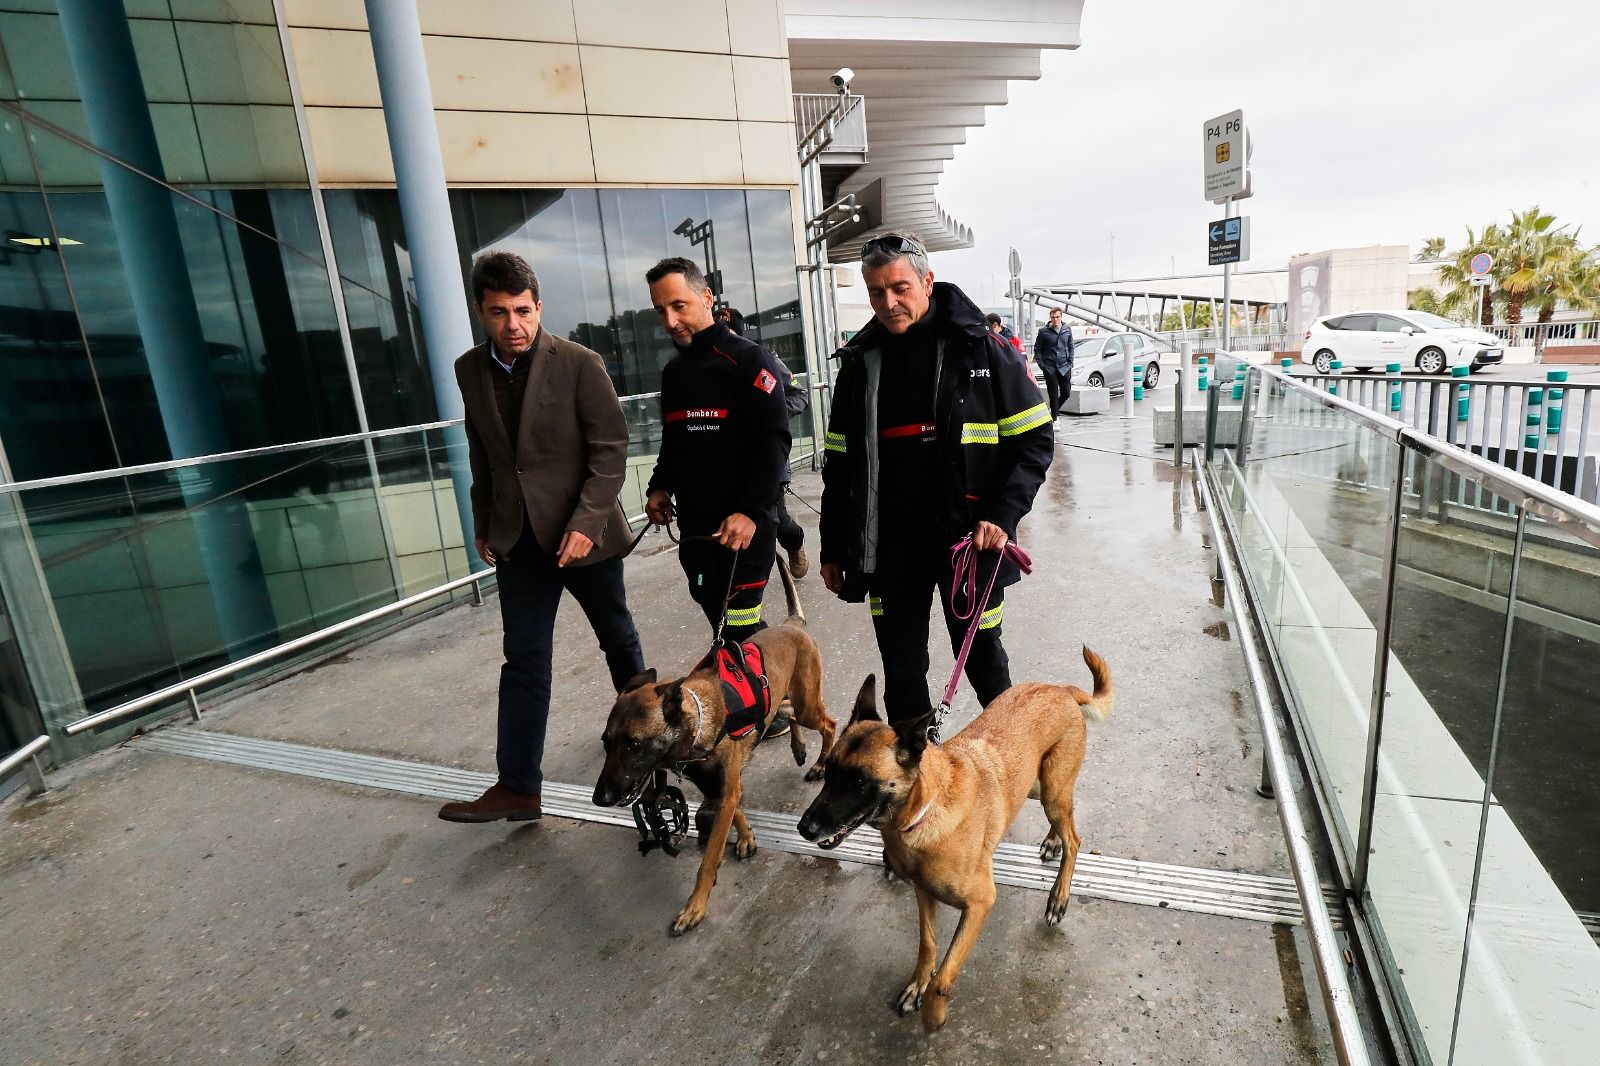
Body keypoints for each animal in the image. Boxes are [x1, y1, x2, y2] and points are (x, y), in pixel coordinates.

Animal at [592, 557, 838, 928]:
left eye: (634, 744)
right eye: (607, 743)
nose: (599, 798)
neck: (697, 721)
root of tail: (792, 624)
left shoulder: (724, 788)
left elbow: (708, 859)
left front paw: (695, 905)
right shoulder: (720, 789)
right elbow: (735, 811)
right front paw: (747, 836)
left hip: (809, 704)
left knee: (829, 724)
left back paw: (822, 763)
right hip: (785, 699)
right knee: (790, 713)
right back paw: (798, 748)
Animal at [796, 646, 1113, 1030]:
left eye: (858, 782)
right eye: (828, 771)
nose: (804, 828)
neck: (923, 811)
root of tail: (1060, 689)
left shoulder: (980, 904)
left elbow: (945, 975)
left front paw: (933, 1013)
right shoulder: (924, 894)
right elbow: (928, 945)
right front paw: (917, 984)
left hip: (1051, 788)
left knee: (1075, 838)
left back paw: (1059, 896)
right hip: (1038, 787)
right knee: (1065, 819)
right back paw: (1053, 839)